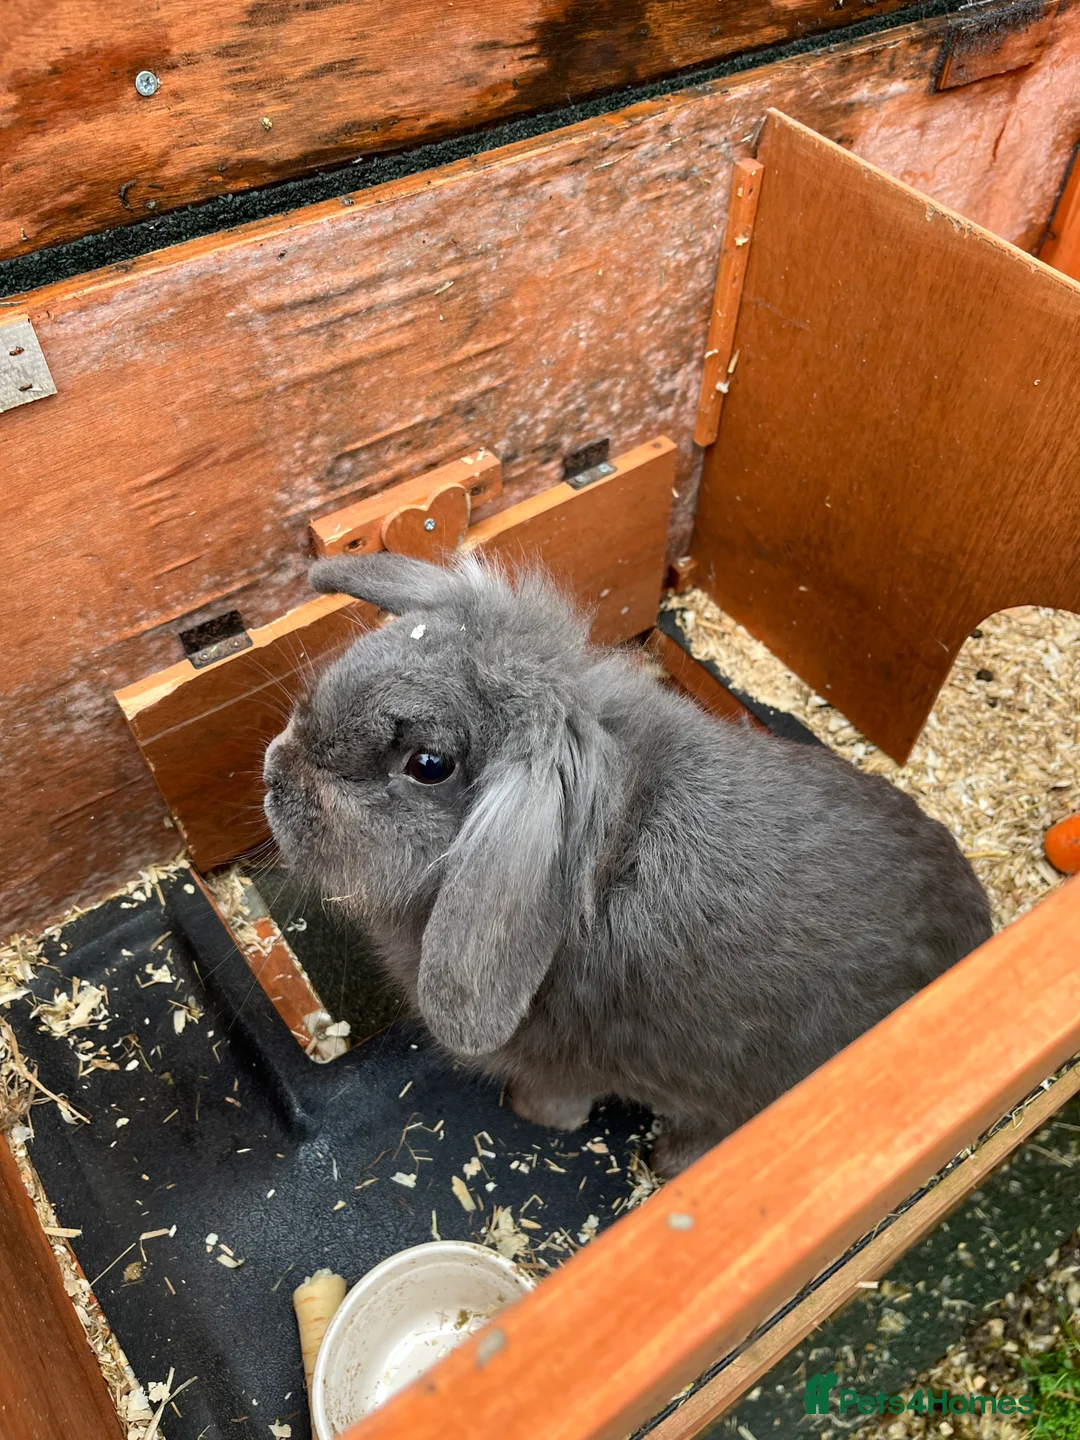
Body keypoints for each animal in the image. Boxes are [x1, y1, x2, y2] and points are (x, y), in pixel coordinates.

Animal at [263, 552, 993, 1178]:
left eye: (428, 765)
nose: (273, 775)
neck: (603, 839)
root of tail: (976, 932)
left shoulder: (564, 1067)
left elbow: (559, 1103)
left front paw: (528, 1115)